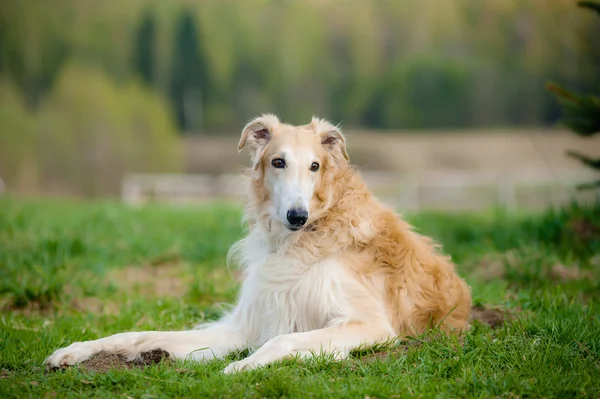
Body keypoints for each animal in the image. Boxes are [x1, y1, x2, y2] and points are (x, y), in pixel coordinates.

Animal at [44, 114, 472, 374]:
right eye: (278, 162)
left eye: (315, 165)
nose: (297, 216)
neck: (305, 236)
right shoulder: (245, 325)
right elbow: (136, 335)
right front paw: (73, 350)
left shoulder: (371, 325)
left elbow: (283, 339)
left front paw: (239, 367)